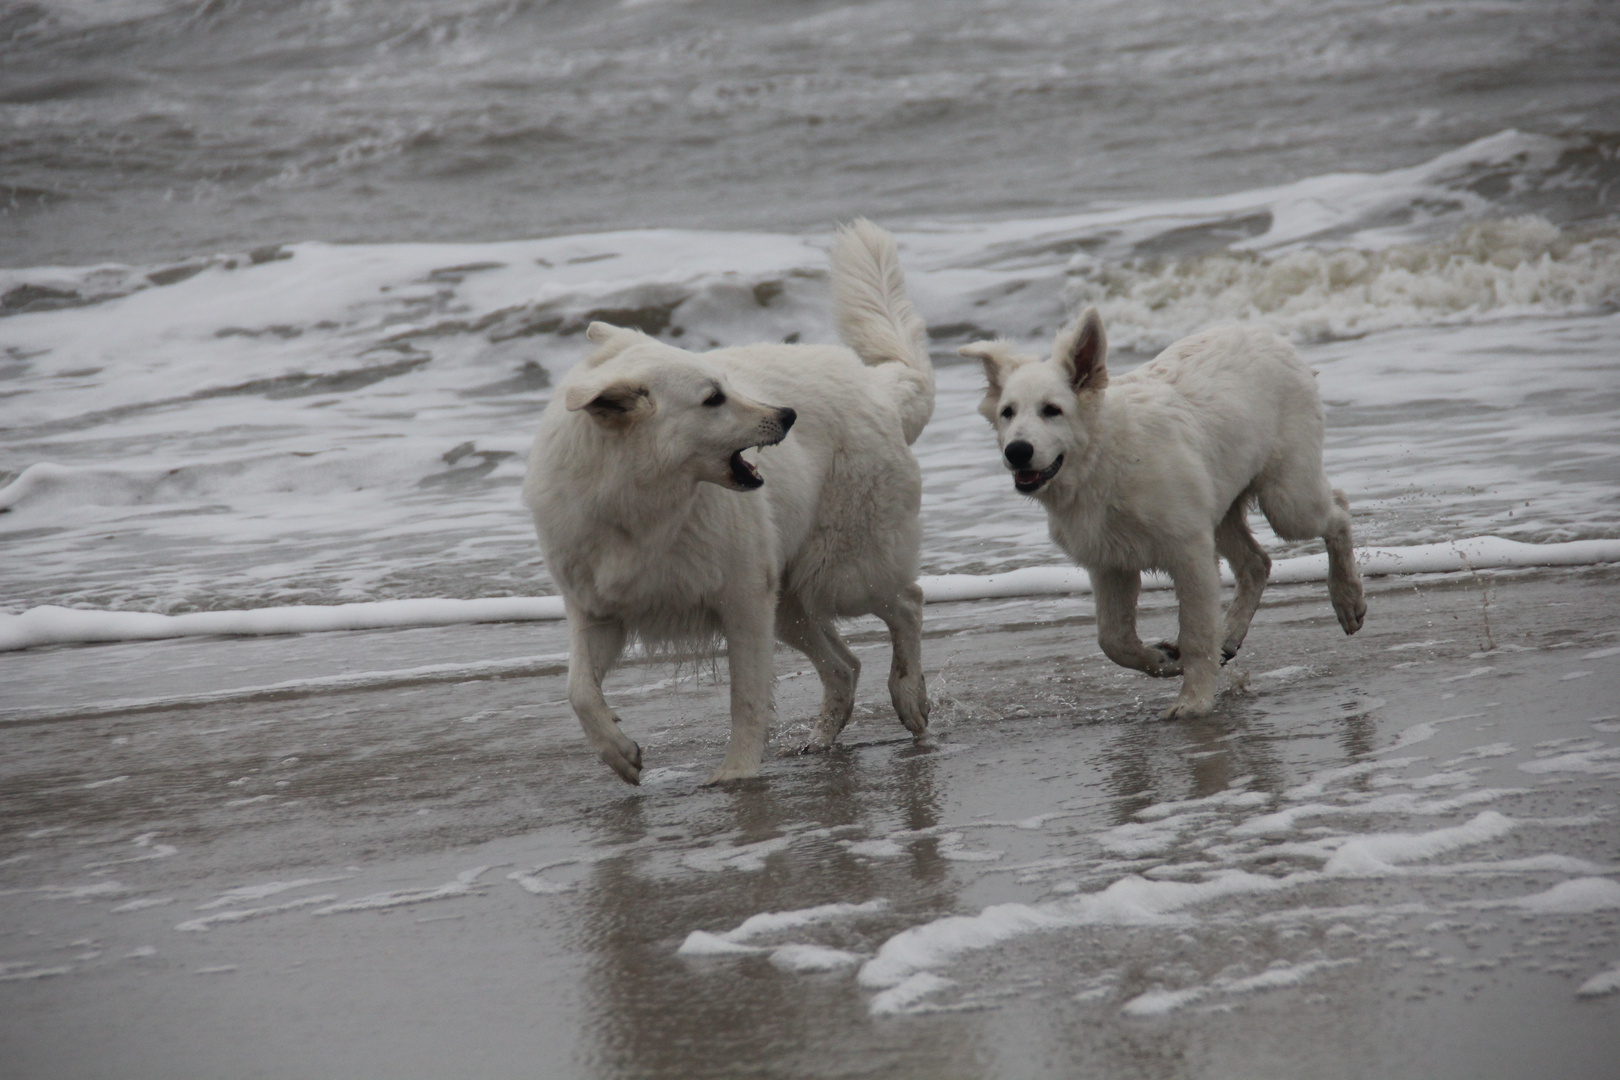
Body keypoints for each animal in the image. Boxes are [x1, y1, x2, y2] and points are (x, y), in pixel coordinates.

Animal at [524, 223, 939, 786]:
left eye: (724, 388)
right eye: (713, 398)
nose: (788, 416)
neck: (639, 505)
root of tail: (878, 386)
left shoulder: (742, 602)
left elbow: (745, 700)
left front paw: (737, 775)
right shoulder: (599, 613)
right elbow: (578, 691)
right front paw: (618, 752)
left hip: (842, 576)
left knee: (907, 603)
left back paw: (909, 697)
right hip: (790, 602)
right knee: (845, 666)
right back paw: (821, 740)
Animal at [959, 310, 1367, 718]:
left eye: (1052, 410)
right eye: (1007, 413)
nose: (1017, 451)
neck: (1104, 459)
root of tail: (1265, 334)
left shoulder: (1189, 553)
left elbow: (1197, 633)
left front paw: (1194, 701)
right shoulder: (1110, 564)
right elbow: (1113, 640)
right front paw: (1166, 659)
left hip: (1286, 501)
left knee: (1339, 511)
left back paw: (1347, 598)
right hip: (1221, 506)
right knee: (1257, 563)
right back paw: (1230, 637)